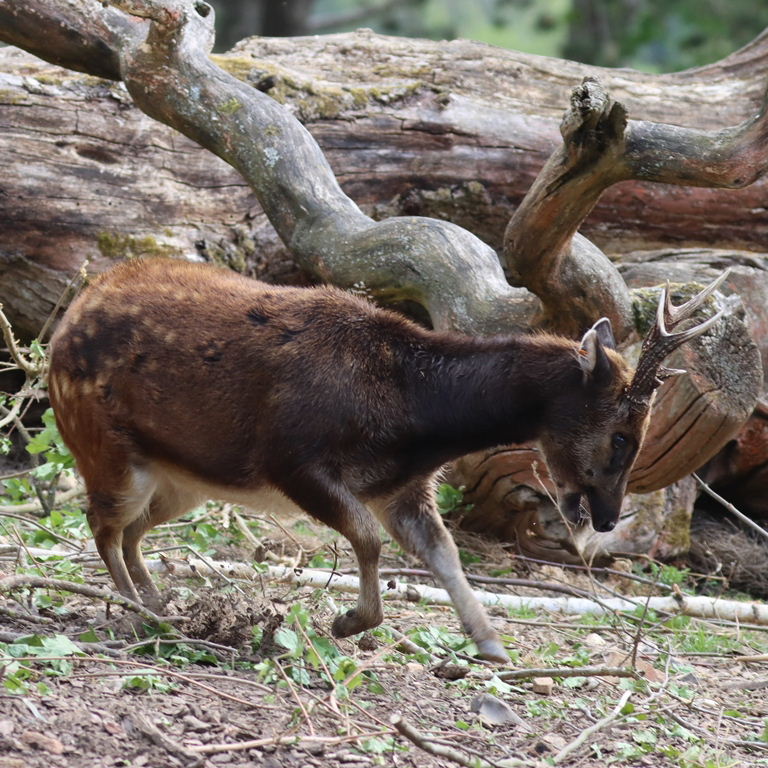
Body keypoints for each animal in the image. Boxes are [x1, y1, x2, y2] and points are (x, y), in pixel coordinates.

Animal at [47, 258, 727, 662]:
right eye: (623, 434)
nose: (609, 517)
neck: (407, 419)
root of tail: (71, 312)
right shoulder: (291, 457)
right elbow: (369, 540)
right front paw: (347, 621)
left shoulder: (404, 488)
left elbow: (445, 554)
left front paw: (490, 644)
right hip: (105, 446)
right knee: (101, 524)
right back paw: (140, 611)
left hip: (184, 481)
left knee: (131, 531)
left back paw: (160, 603)